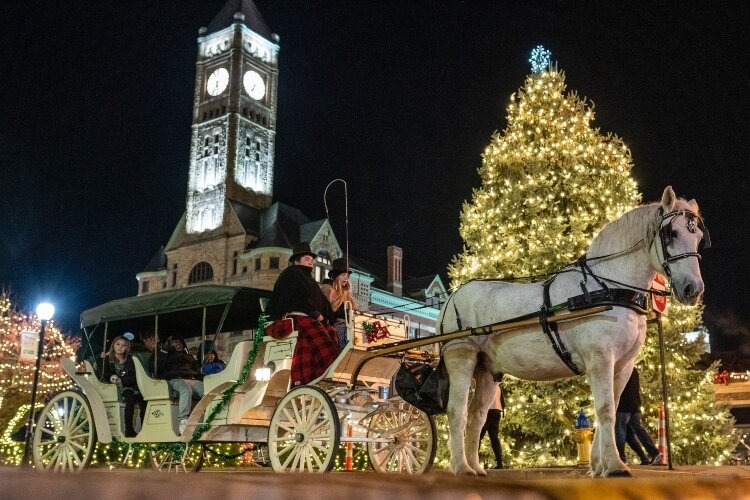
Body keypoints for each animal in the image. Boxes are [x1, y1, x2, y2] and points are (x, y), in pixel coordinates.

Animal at [438, 187, 708, 476]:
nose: (693, 289)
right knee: (457, 412)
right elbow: (606, 409)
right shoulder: (600, 358)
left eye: (698, 237)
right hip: (461, 358)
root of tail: (451, 298)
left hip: (488, 370)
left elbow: (610, 409)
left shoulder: (623, 364)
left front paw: (599, 465)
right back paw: (461, 467)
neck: (607, 288)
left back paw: (475, 467)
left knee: (476, 416)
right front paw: (614, 465)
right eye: (672, 233)